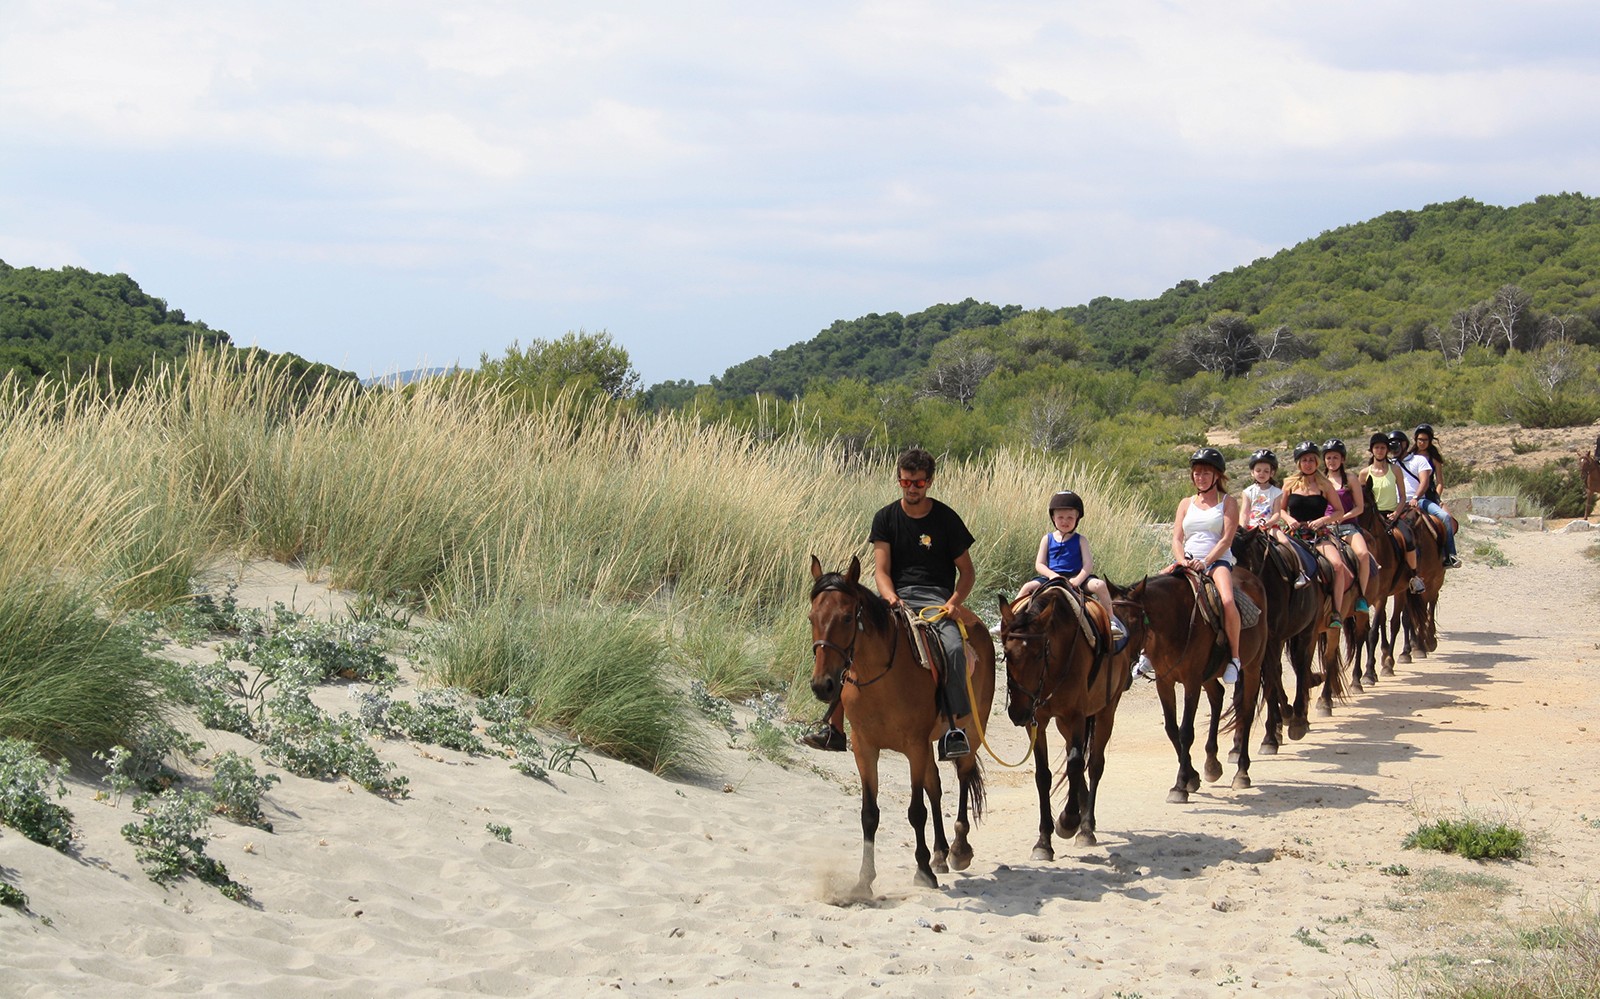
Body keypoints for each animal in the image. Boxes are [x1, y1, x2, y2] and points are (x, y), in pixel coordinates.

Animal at [807, 556, 996, 895]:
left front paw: (923, 871)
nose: (822, 685)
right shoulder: (865, 749)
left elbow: (916, 811)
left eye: (846, 618)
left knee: (963, 775)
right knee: (935, 787)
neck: (880, 678)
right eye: (811, 617)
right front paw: (864, 881)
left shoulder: (914, 747)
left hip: (971, 730)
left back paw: (958, 850)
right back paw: (940, 854)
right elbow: (869, 814)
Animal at [996, 583, 1144, 861]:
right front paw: (1043, 842)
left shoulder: (1076, 715)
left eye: (1039, 654)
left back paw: (1085, 826)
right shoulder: (1038, 721)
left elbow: (1077, 763)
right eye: (1007, 654)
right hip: (1065, 723)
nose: (1017, 713)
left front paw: (1069, 820)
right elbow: (1043, 775)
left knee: (1093, 764)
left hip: (1104, 712)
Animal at [1110, 567, 1268, 803]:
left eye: (1134, 621)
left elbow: (1185, 731)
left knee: (1246, 713)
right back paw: (1212, 765)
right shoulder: (1165, 682)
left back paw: (1242, 773)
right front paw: (1191, 778)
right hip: (1209, 675)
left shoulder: (1191, 681)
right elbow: (1171, 729)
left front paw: (1179, 786)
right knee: (1217, 696)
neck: (1176, 621)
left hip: (1252, 667)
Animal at [1230, 527, 1326, 750]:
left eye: (1241, 566)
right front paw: (1239, 742)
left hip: (1307, 631)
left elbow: (1270, 681)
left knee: (1301, 665)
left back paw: (1298, 718)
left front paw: (1270, 737)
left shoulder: (1272, 640)